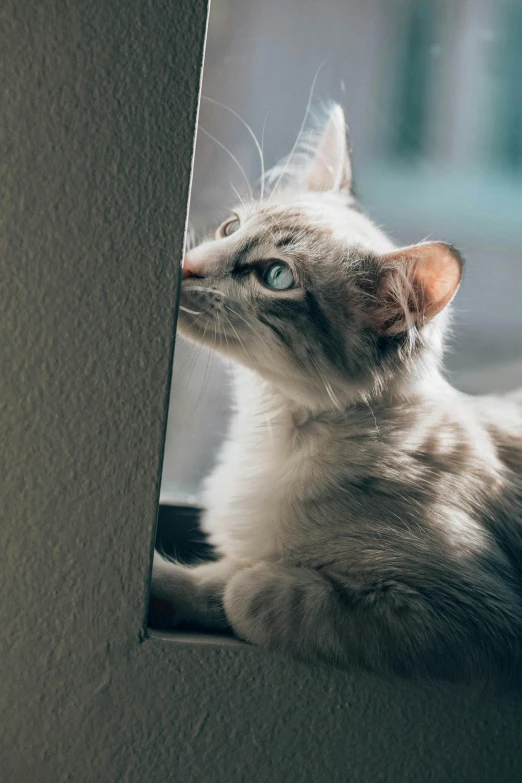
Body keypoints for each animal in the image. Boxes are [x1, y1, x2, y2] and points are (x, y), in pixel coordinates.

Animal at [150, 104, 520, 680]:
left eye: (276, 277)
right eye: (230, 227)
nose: (183, 267)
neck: (266, 429)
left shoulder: (471, 617)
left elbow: (246, 592)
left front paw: (248, 584)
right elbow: (209, 578)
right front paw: (160, 589)